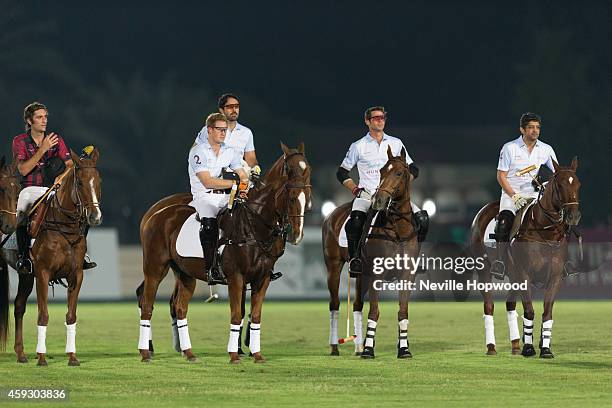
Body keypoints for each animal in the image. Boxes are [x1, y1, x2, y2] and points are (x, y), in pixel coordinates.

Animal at [0, 148, 101, 364]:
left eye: (98, 181)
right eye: (80, 183)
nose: (95, 216)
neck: (63, 227)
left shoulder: (76, 275)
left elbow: (71, 315)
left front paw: (72, 357)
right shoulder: (43, 273)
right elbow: (43, 315)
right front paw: (41, 358)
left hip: (26, 275)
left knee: (19, 305)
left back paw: (21, 354)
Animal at [138, 143, 310, 364]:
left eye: (307, 195)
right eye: (291, 197)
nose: (296, 234)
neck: (254, 224)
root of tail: (154, 214)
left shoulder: (262, 278)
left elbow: (255, 316)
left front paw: (257, 354)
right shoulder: (236, 277)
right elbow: (237, 314)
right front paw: (234, 354)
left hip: (185, 274)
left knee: (180, 308)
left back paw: (189, 353)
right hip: (155, 268)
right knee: (147, 304)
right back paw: (145, 352)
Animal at [322, 148, 418, 358]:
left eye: (399, 173)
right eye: (382, 171)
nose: (378, 201)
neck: (397, 230)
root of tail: (332, 215)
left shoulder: (407, 275)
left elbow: (403, 312)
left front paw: (404, 349)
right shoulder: (376, 275)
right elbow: (374, 312)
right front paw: (369, 350)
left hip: (361, 275)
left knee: (357, 304)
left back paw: (358, 346)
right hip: (334, 266)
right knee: (335, 304)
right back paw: (336, 346)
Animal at [470, 158, 580, 358]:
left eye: (578, 184)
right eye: (559, 186)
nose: (573, 216)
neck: (545, 233)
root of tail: (484, 210)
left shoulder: (554, 278)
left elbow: (547, 313)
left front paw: (545, 348)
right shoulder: (525, 275)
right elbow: (529, 311)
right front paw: (529, 348)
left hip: (513, 276)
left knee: (510, 304)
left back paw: (515, 345)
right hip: (484, 270)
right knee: (489, 306)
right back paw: (491, 347)